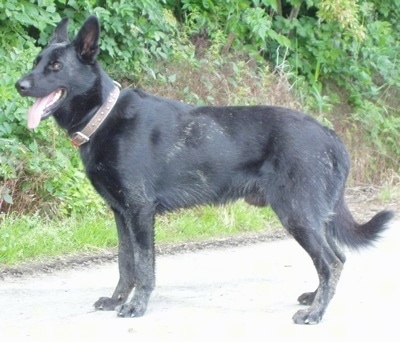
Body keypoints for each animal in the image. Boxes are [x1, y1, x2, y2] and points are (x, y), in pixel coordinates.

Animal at [14, 16, 394, 324]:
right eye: (37, 62)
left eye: (56, 66)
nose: (19, 85)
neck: (103, 117)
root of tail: (332, 137)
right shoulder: (121, 214)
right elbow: (125, 262)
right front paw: (116, 299)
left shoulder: (139, 212)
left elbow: (144, 265)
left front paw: (136, 306)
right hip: (313, 216)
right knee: (336, 257)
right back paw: (316, 299)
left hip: (297, 214)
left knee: (331, 262)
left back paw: (316, 313)